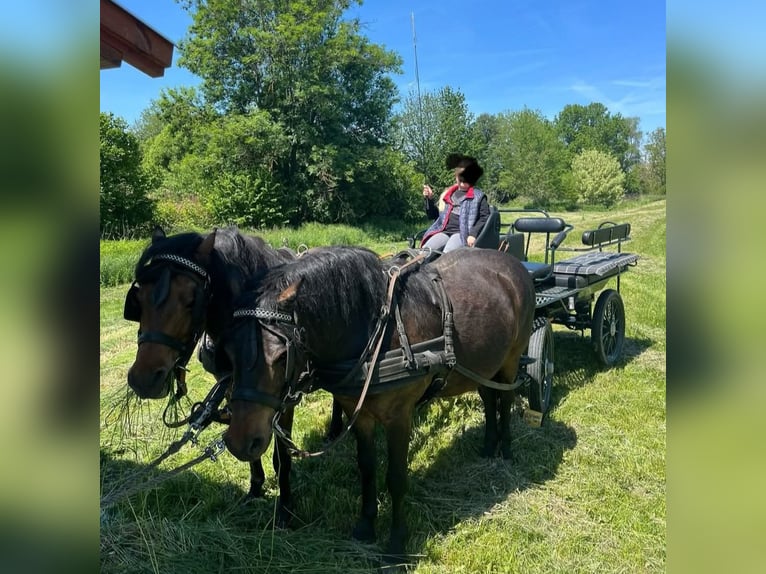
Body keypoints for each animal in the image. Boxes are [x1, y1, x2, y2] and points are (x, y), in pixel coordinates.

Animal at [123, 226, 342, 524]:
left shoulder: (284, 399)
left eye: (191, 300)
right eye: (139, 298)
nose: (142, 380)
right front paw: (255, 488)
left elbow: (282, 455)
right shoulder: (233, 390)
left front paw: (285, 509)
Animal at [220, 246, 536, 560]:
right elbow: (367, 468)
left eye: (282, 356)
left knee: (505, 399)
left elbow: (396, 478)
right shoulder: (359, 414)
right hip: (484, 365)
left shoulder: (400, 417)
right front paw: (366, 525)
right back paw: (488, 446)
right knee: (489, 398)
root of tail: (513, 264)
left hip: (511, 359)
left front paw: (396, 544)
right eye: (229, 351)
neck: (376, 331)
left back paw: (506, 450)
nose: (239, 442)